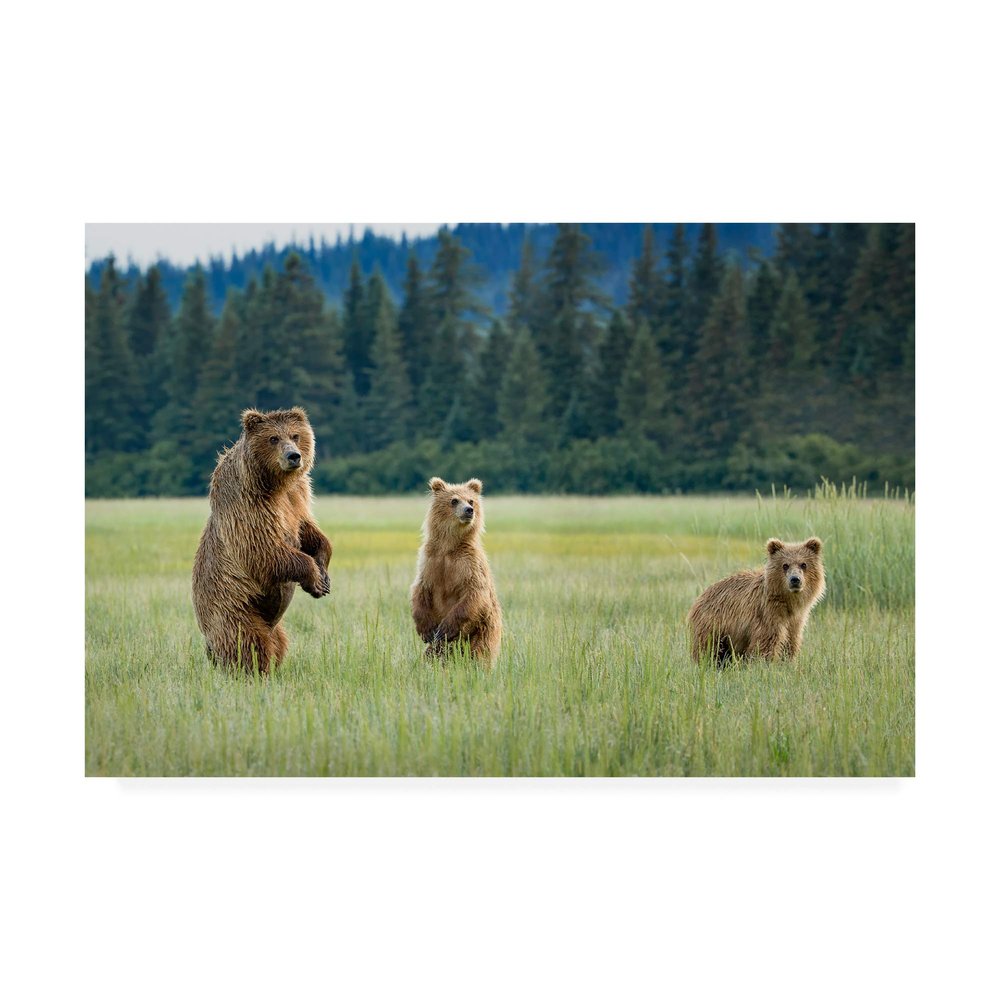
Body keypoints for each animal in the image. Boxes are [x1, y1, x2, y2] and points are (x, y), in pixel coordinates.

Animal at [192, 407, 332, 674]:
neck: (276, 484)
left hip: (272, 623)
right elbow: (263, 549)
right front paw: (314, 578)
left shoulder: (296, 497)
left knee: (279, 642)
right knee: (248, 643)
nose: (293, 456)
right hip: (233, 608)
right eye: (273, 438)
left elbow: (310, 532)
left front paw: (324, 576)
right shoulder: (248, 505)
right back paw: (253, 671)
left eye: (295, 435)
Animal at [410, 477, 503, 667]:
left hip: (482, 631)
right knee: (432, 653)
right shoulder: (431, 562)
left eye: (471, 500)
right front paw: (426, 630)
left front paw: (444, 629)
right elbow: (420, 589)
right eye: (454, 500)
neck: (449, 546)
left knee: (479, 653)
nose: (469, 510)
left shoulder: (468, 564)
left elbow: (473, 593)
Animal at [687, 537, 825, 666]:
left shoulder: (795, 620)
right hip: (713, 626)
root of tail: (699, 599)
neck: (788, 602)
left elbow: (790, 642)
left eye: (804, 564)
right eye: (785, 565)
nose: (795, 579)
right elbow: (766, 643)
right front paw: (765, 665)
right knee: (709, 650)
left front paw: (787, 663)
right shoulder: (767, 614)